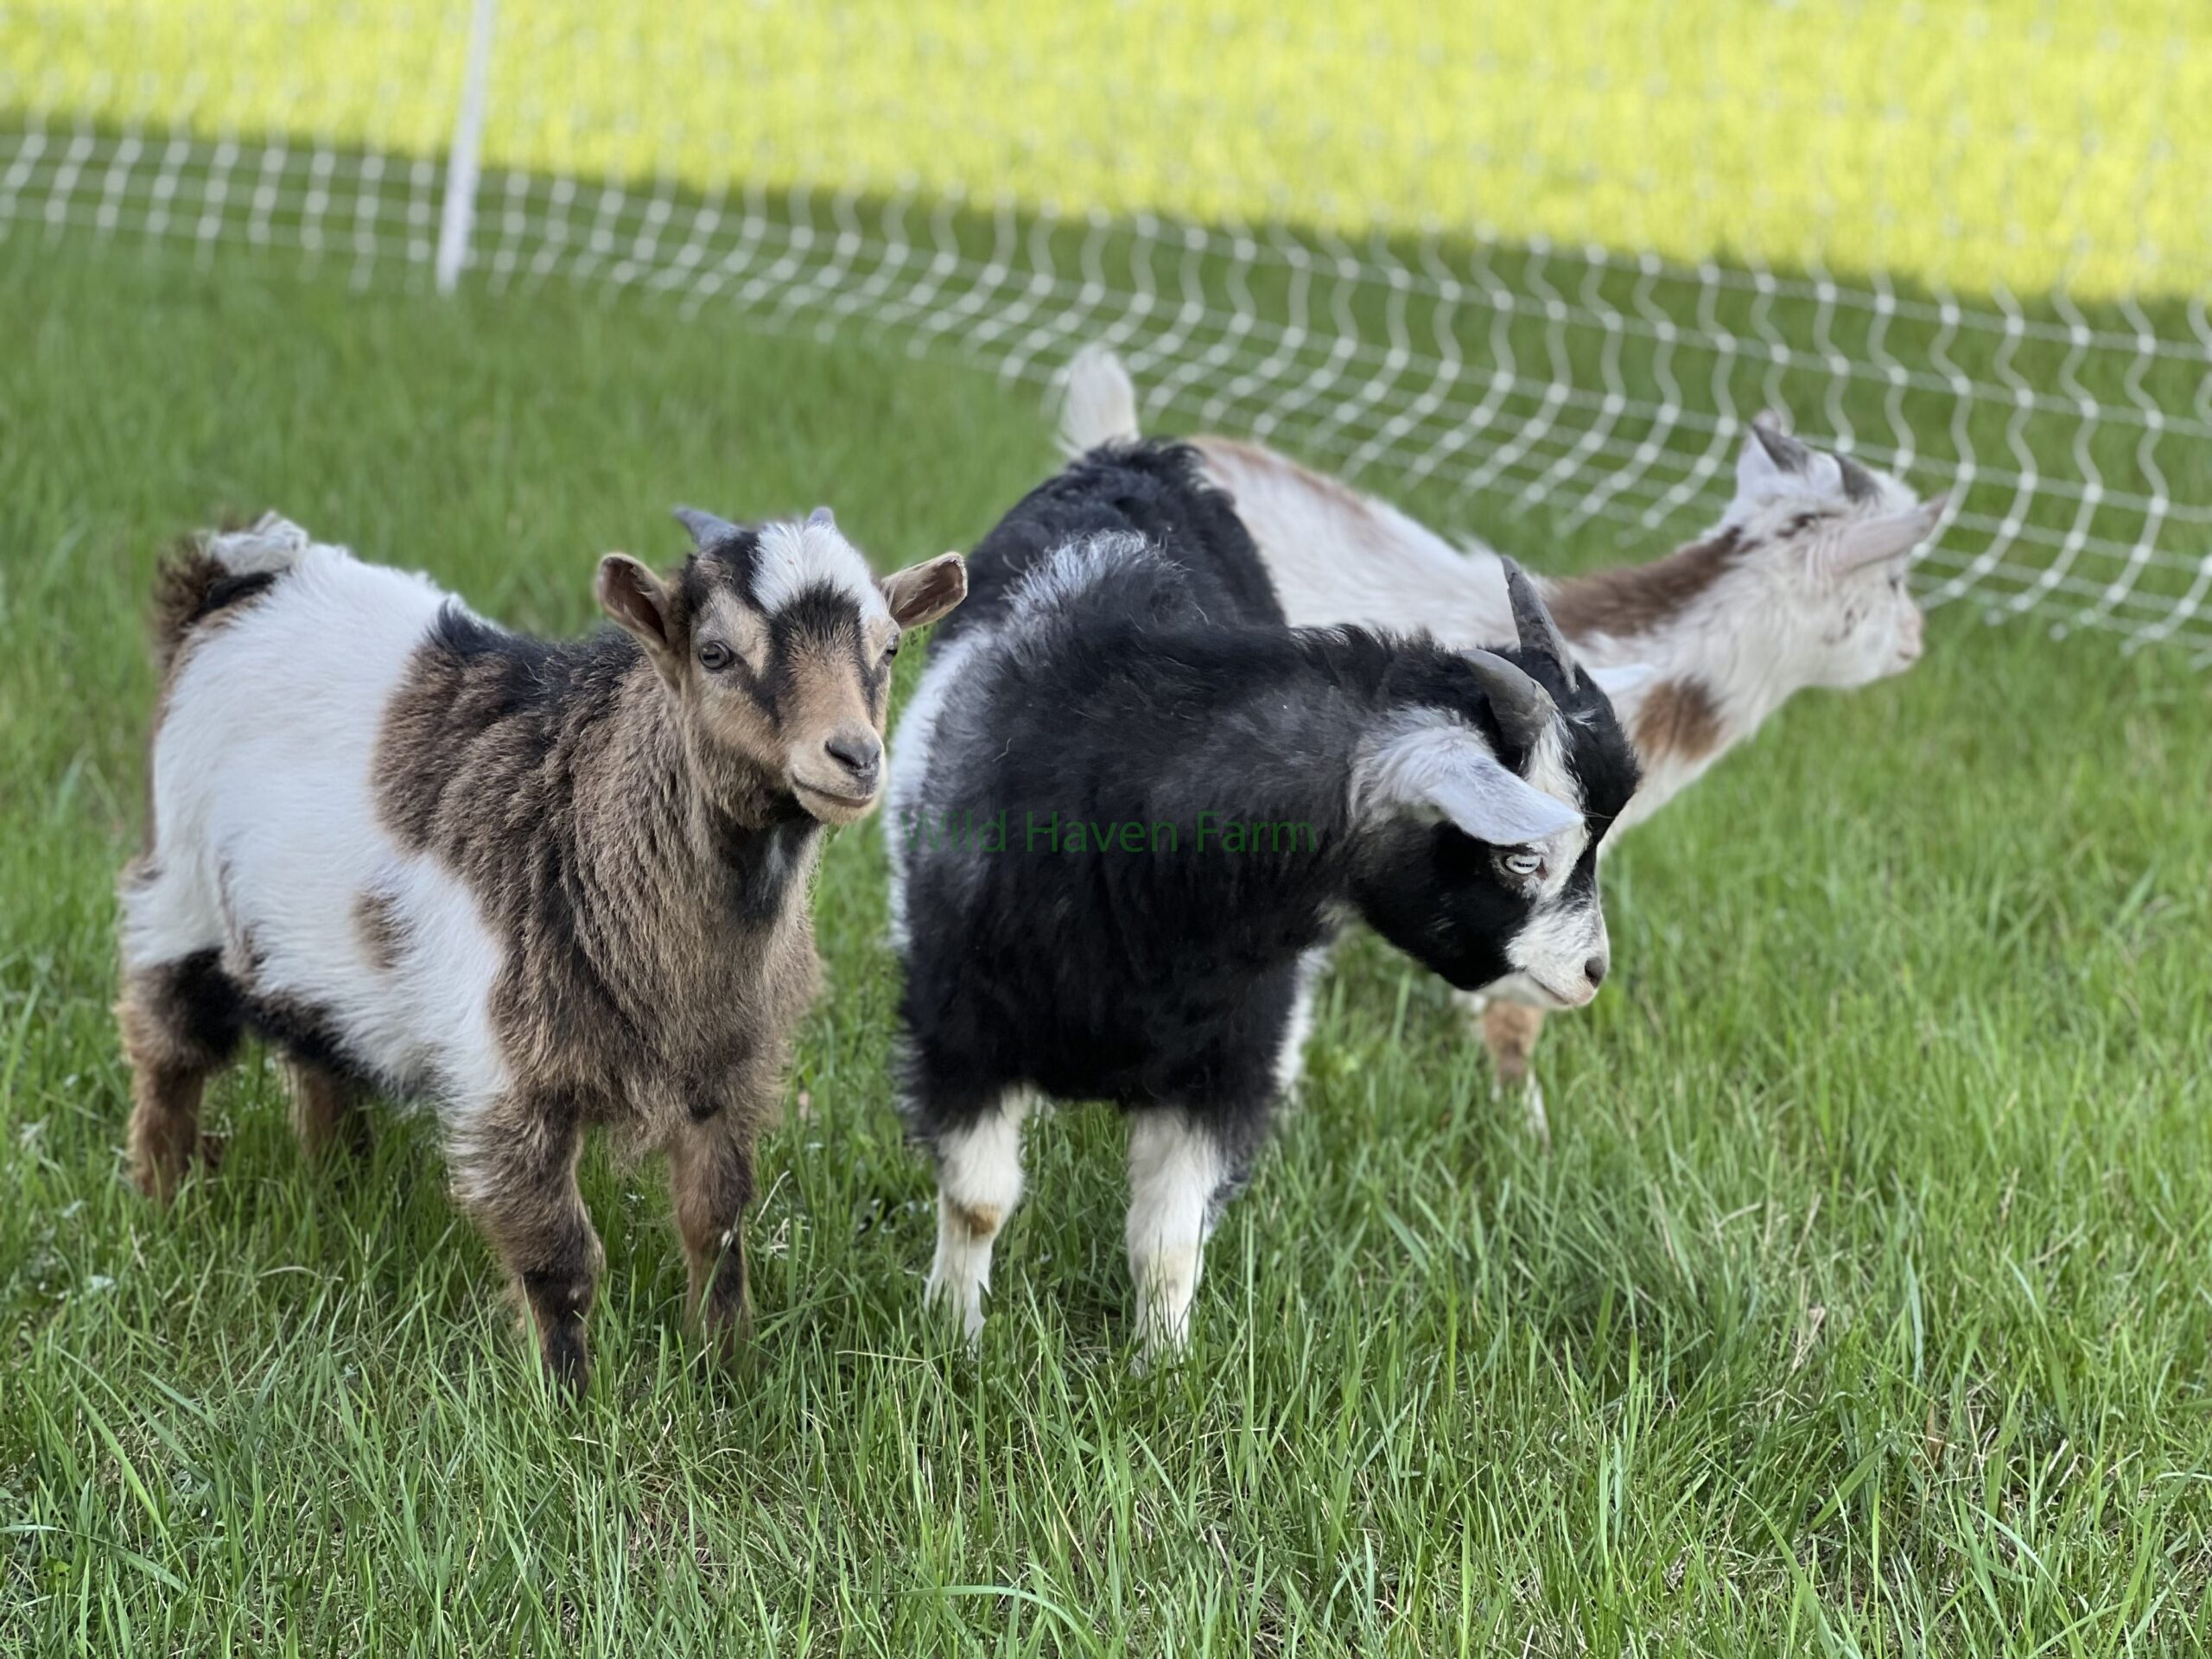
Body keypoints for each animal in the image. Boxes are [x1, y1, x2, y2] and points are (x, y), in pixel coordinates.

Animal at [118, 507, 966, 1391]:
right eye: (715, 653)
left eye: (890, 647)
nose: (855, 757)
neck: (584, 826)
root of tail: (231, 580)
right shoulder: (507, 1075)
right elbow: (560, 1258)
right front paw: (568, 1401)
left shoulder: (725, 1064)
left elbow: (718, 1223)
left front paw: (726, 1373)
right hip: (183, 892)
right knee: (170, 1047)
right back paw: (163, 1198)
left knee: (322, 1051)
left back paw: (337, 1181)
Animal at [887, 443, 1639, 1357]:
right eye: (1524, 857)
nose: (1592, 973)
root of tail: (1134, 457)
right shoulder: (961, 1026)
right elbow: (978, 1202)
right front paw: (950, 1336)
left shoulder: (1229, 1057)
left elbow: (1169, 1244)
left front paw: (1163, 1367)